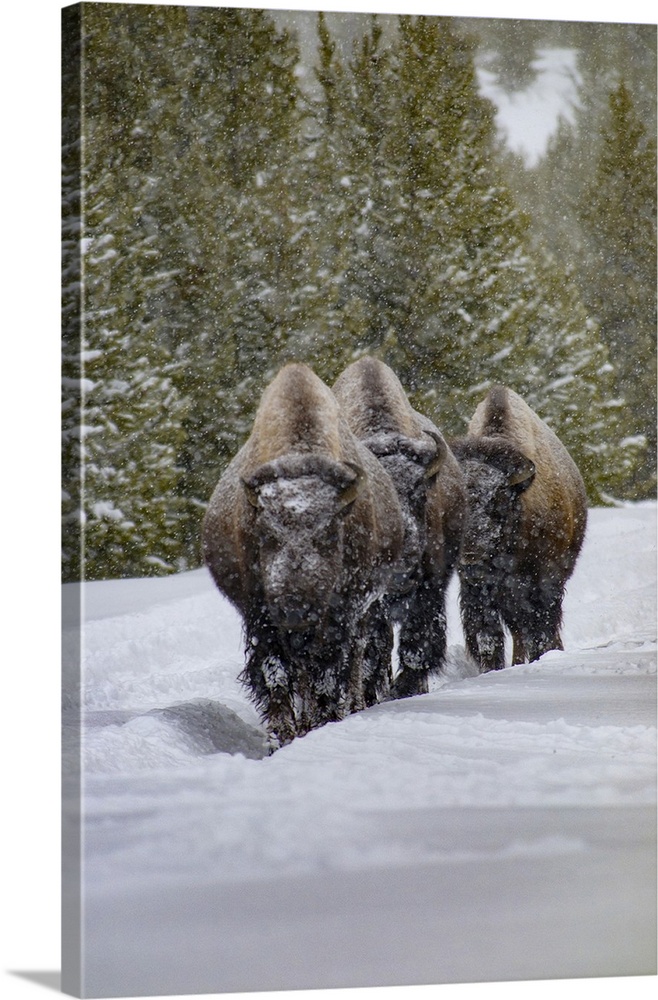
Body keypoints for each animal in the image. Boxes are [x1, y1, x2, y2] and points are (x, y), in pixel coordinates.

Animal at [201, 362, 404, 744]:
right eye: (266, 534)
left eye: (330, 533)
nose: (296, 611)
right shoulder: (261, 619)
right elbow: (276, 676)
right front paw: (281, 736)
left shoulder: (340, 615)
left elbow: (327, 674)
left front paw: (321, 723)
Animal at [334, 358, 466, 696]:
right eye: (373, 499)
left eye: (420, 490)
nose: (405, 546)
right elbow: (376, 647)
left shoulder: (430, 586)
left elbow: (418, 644)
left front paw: (405, 688)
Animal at [452, 382, 584, 672]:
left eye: (498, 498)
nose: (469, 555)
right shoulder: (477, 590)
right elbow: (488, 636)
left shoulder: (542, 582)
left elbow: (539, 628)